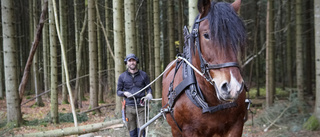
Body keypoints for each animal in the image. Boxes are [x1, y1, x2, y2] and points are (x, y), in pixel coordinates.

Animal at [162, 0, 248, 136]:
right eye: (206, 35)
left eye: (238, 37)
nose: (233, 87)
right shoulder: (189, 131)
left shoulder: (236, 126)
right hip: (175, 130)